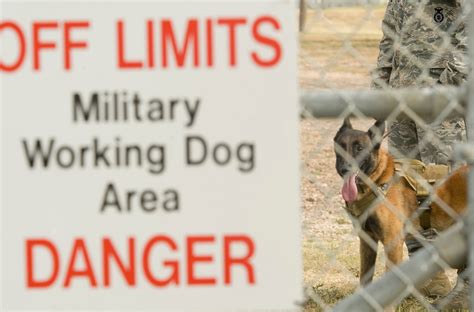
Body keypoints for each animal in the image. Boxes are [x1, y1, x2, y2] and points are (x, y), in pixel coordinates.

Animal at [334, 117, 466, 286]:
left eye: (360, 148)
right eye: (341, 147)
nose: (345, 169)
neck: (378, 180)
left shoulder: (393, 243)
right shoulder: (367, 241)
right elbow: (365, 279)